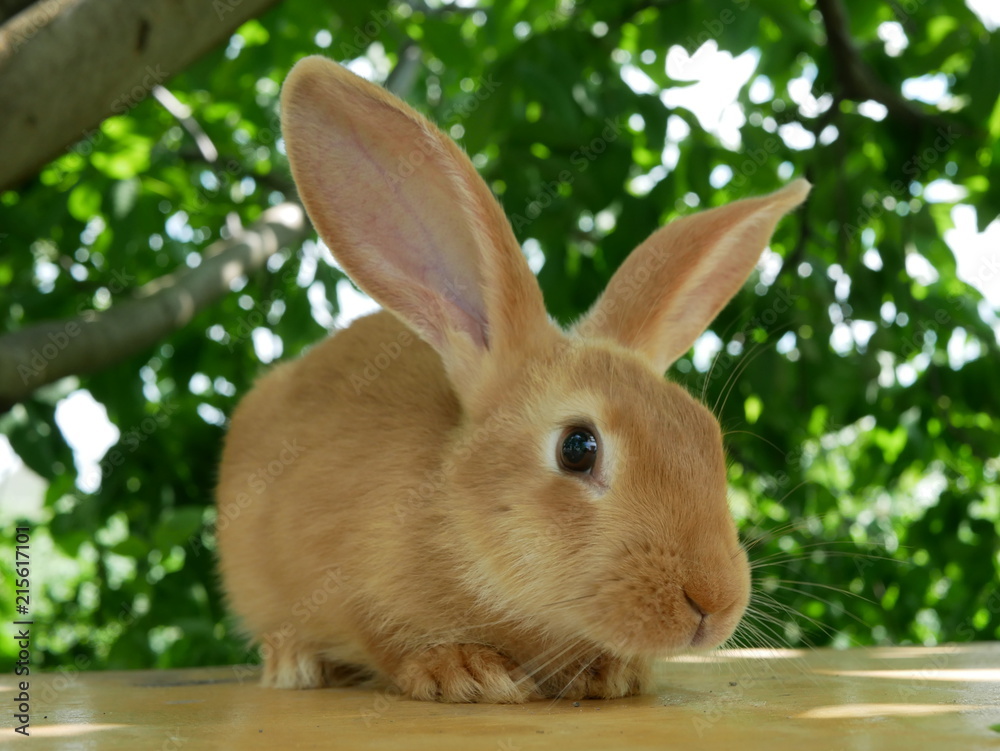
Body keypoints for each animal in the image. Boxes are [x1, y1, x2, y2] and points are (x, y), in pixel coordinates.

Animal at [215, 54, 811, 704]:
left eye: (708, 436)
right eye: (578, 447)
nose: (713, 602)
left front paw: (611, 673)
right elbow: (388, 640)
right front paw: (465, 672)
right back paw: (294, 664)